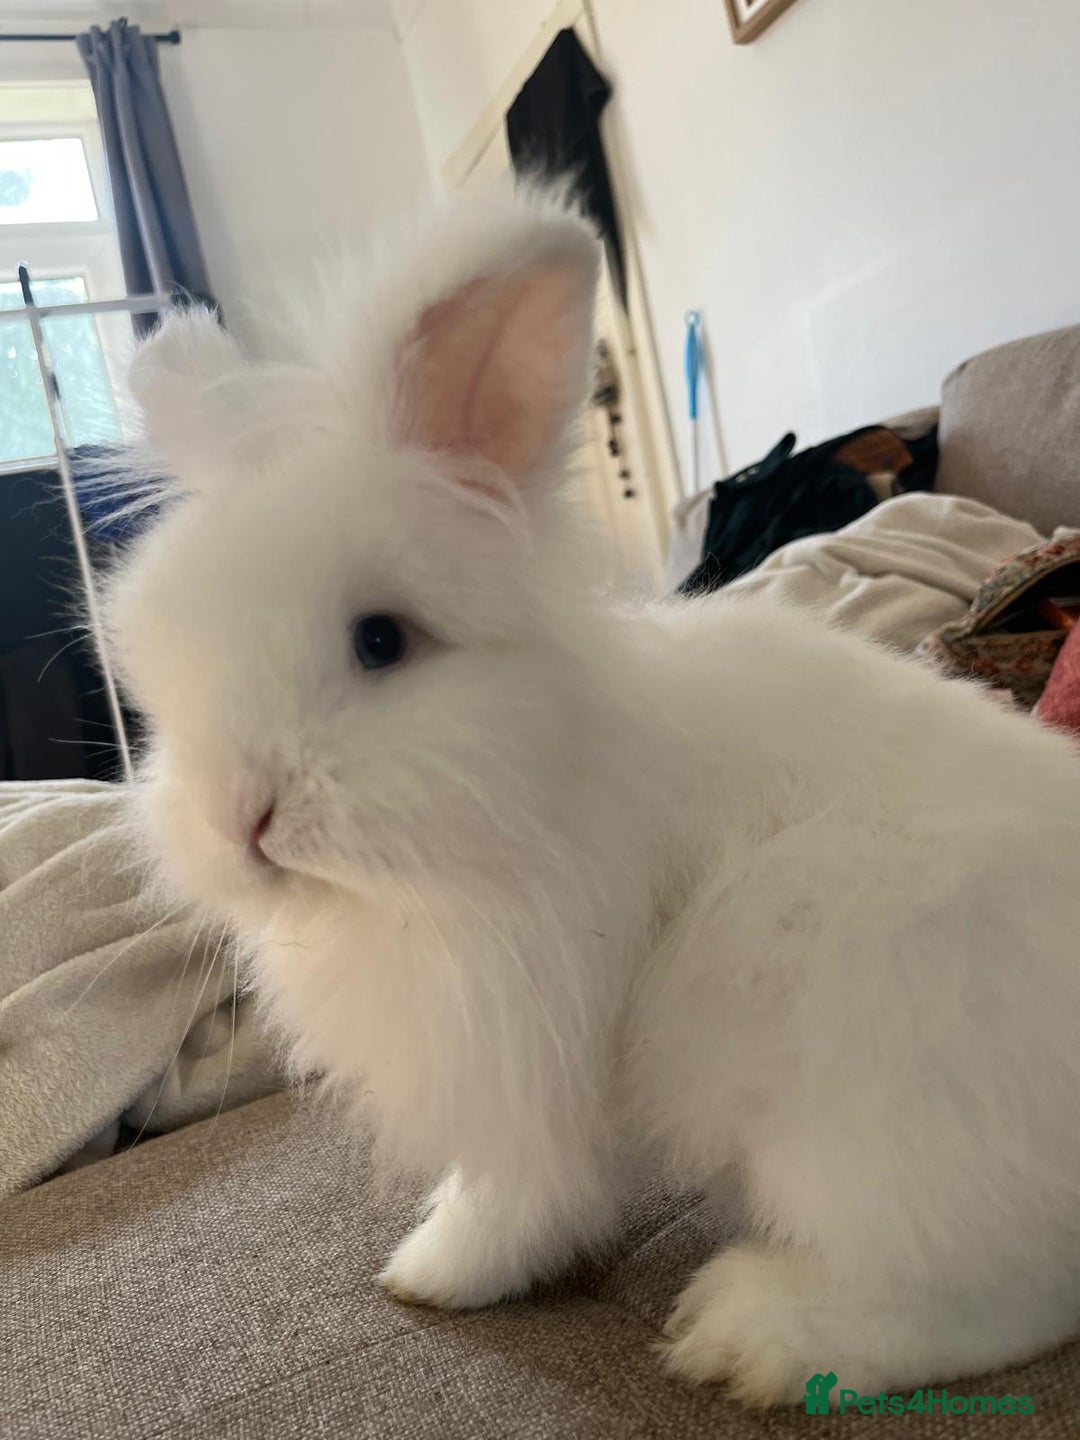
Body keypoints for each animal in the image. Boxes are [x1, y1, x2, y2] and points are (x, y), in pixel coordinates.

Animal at [103, 184, 1080, 1408]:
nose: (242, 820)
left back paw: (752, 1335)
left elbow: (519, 1189)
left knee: (997, 1290)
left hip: (848, 1050)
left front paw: (431, 1273)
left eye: (381, 640)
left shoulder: (532, 1052)